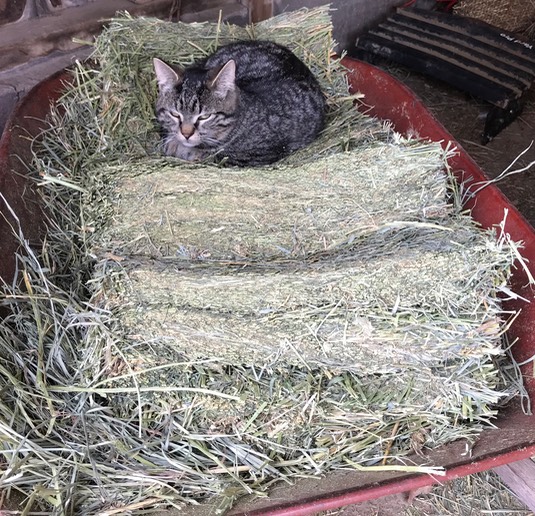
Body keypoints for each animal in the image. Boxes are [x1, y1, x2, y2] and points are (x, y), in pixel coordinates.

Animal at [153, 40, 326, 166]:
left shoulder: (254, 156)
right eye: (175, 114)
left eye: (204, 117)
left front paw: (179, 147)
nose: (186, 134)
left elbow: (207, 156)